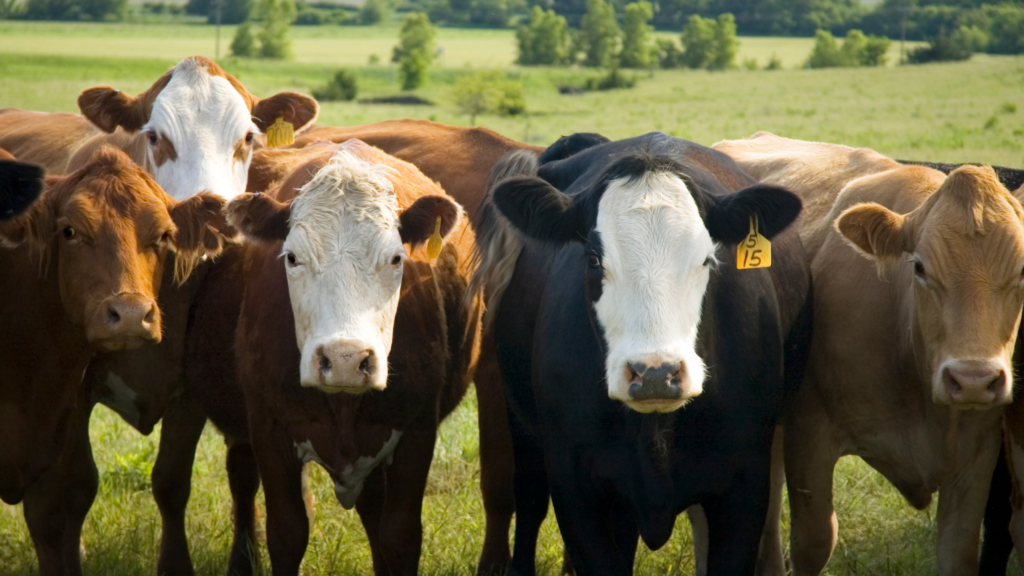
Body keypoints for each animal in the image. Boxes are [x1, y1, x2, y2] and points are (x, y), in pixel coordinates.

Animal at [473, 132, 815, 569]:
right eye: (593, 259)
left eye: (708, 258)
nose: (655, 374)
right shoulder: (575, 485)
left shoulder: (745, 484)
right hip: (522, 426)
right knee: (529, 499)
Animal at [712, 131, 1024, 573]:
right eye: (919, 267)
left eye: (1023, 271)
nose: (973, 380)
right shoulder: (810, 435)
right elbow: (814, 541)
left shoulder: (977, 454)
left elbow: (958, 551)